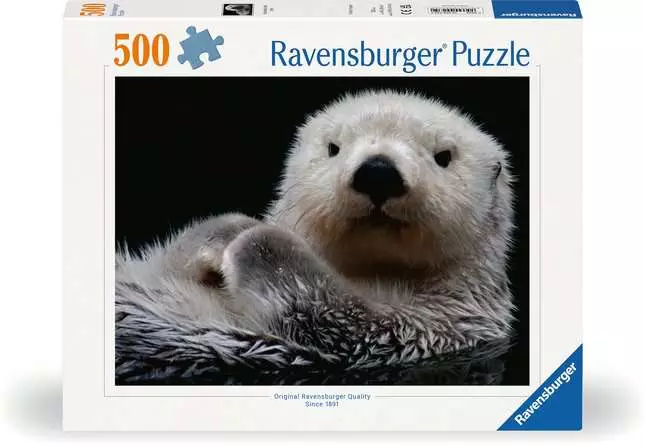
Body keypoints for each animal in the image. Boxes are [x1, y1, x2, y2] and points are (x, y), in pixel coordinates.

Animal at [115, 89, 515, 384]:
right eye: (333, 148)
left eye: (443, 156)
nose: (378, 172)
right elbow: (168, 258)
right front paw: (226, 231)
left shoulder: (428, 327)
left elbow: (330, 312)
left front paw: (253, 237)